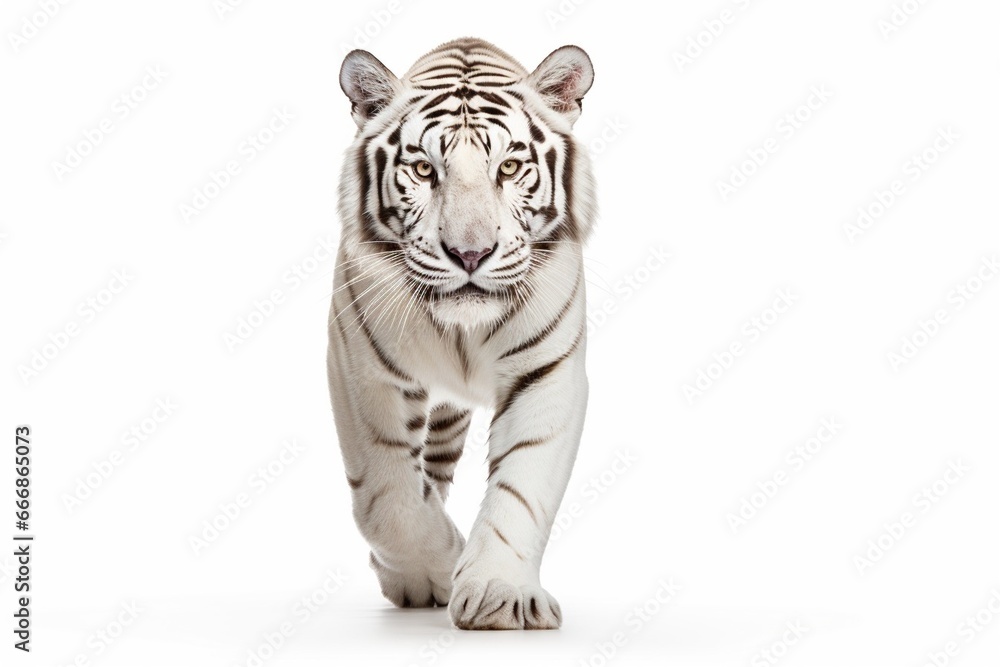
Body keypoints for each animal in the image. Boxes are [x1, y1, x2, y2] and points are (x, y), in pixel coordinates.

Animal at [327, 37, 596, 630]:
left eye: (510, 166)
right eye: (423, 169)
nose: (470, 254)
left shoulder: (546, 372)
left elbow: (522, 486)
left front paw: (500, 593)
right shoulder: (361, 368)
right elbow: (389, 496)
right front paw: (433, 570)